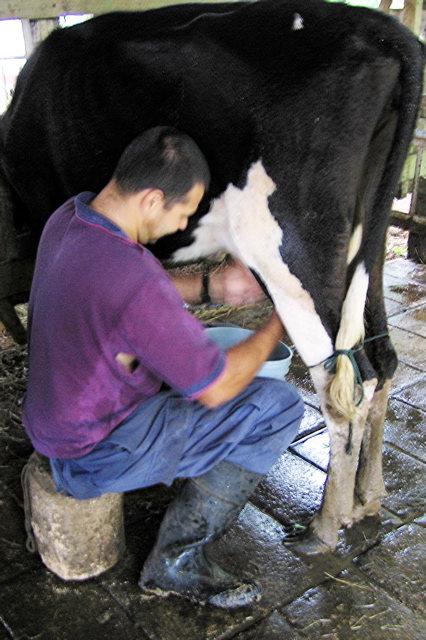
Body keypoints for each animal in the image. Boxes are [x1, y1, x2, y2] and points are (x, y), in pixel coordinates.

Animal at [0, 0, 424, 552]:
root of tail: (384, 30)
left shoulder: (47, 205)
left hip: (294, 251)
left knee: (346, 383)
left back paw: (325, 526)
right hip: (365, 244)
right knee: (384, 361)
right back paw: (369, 496)